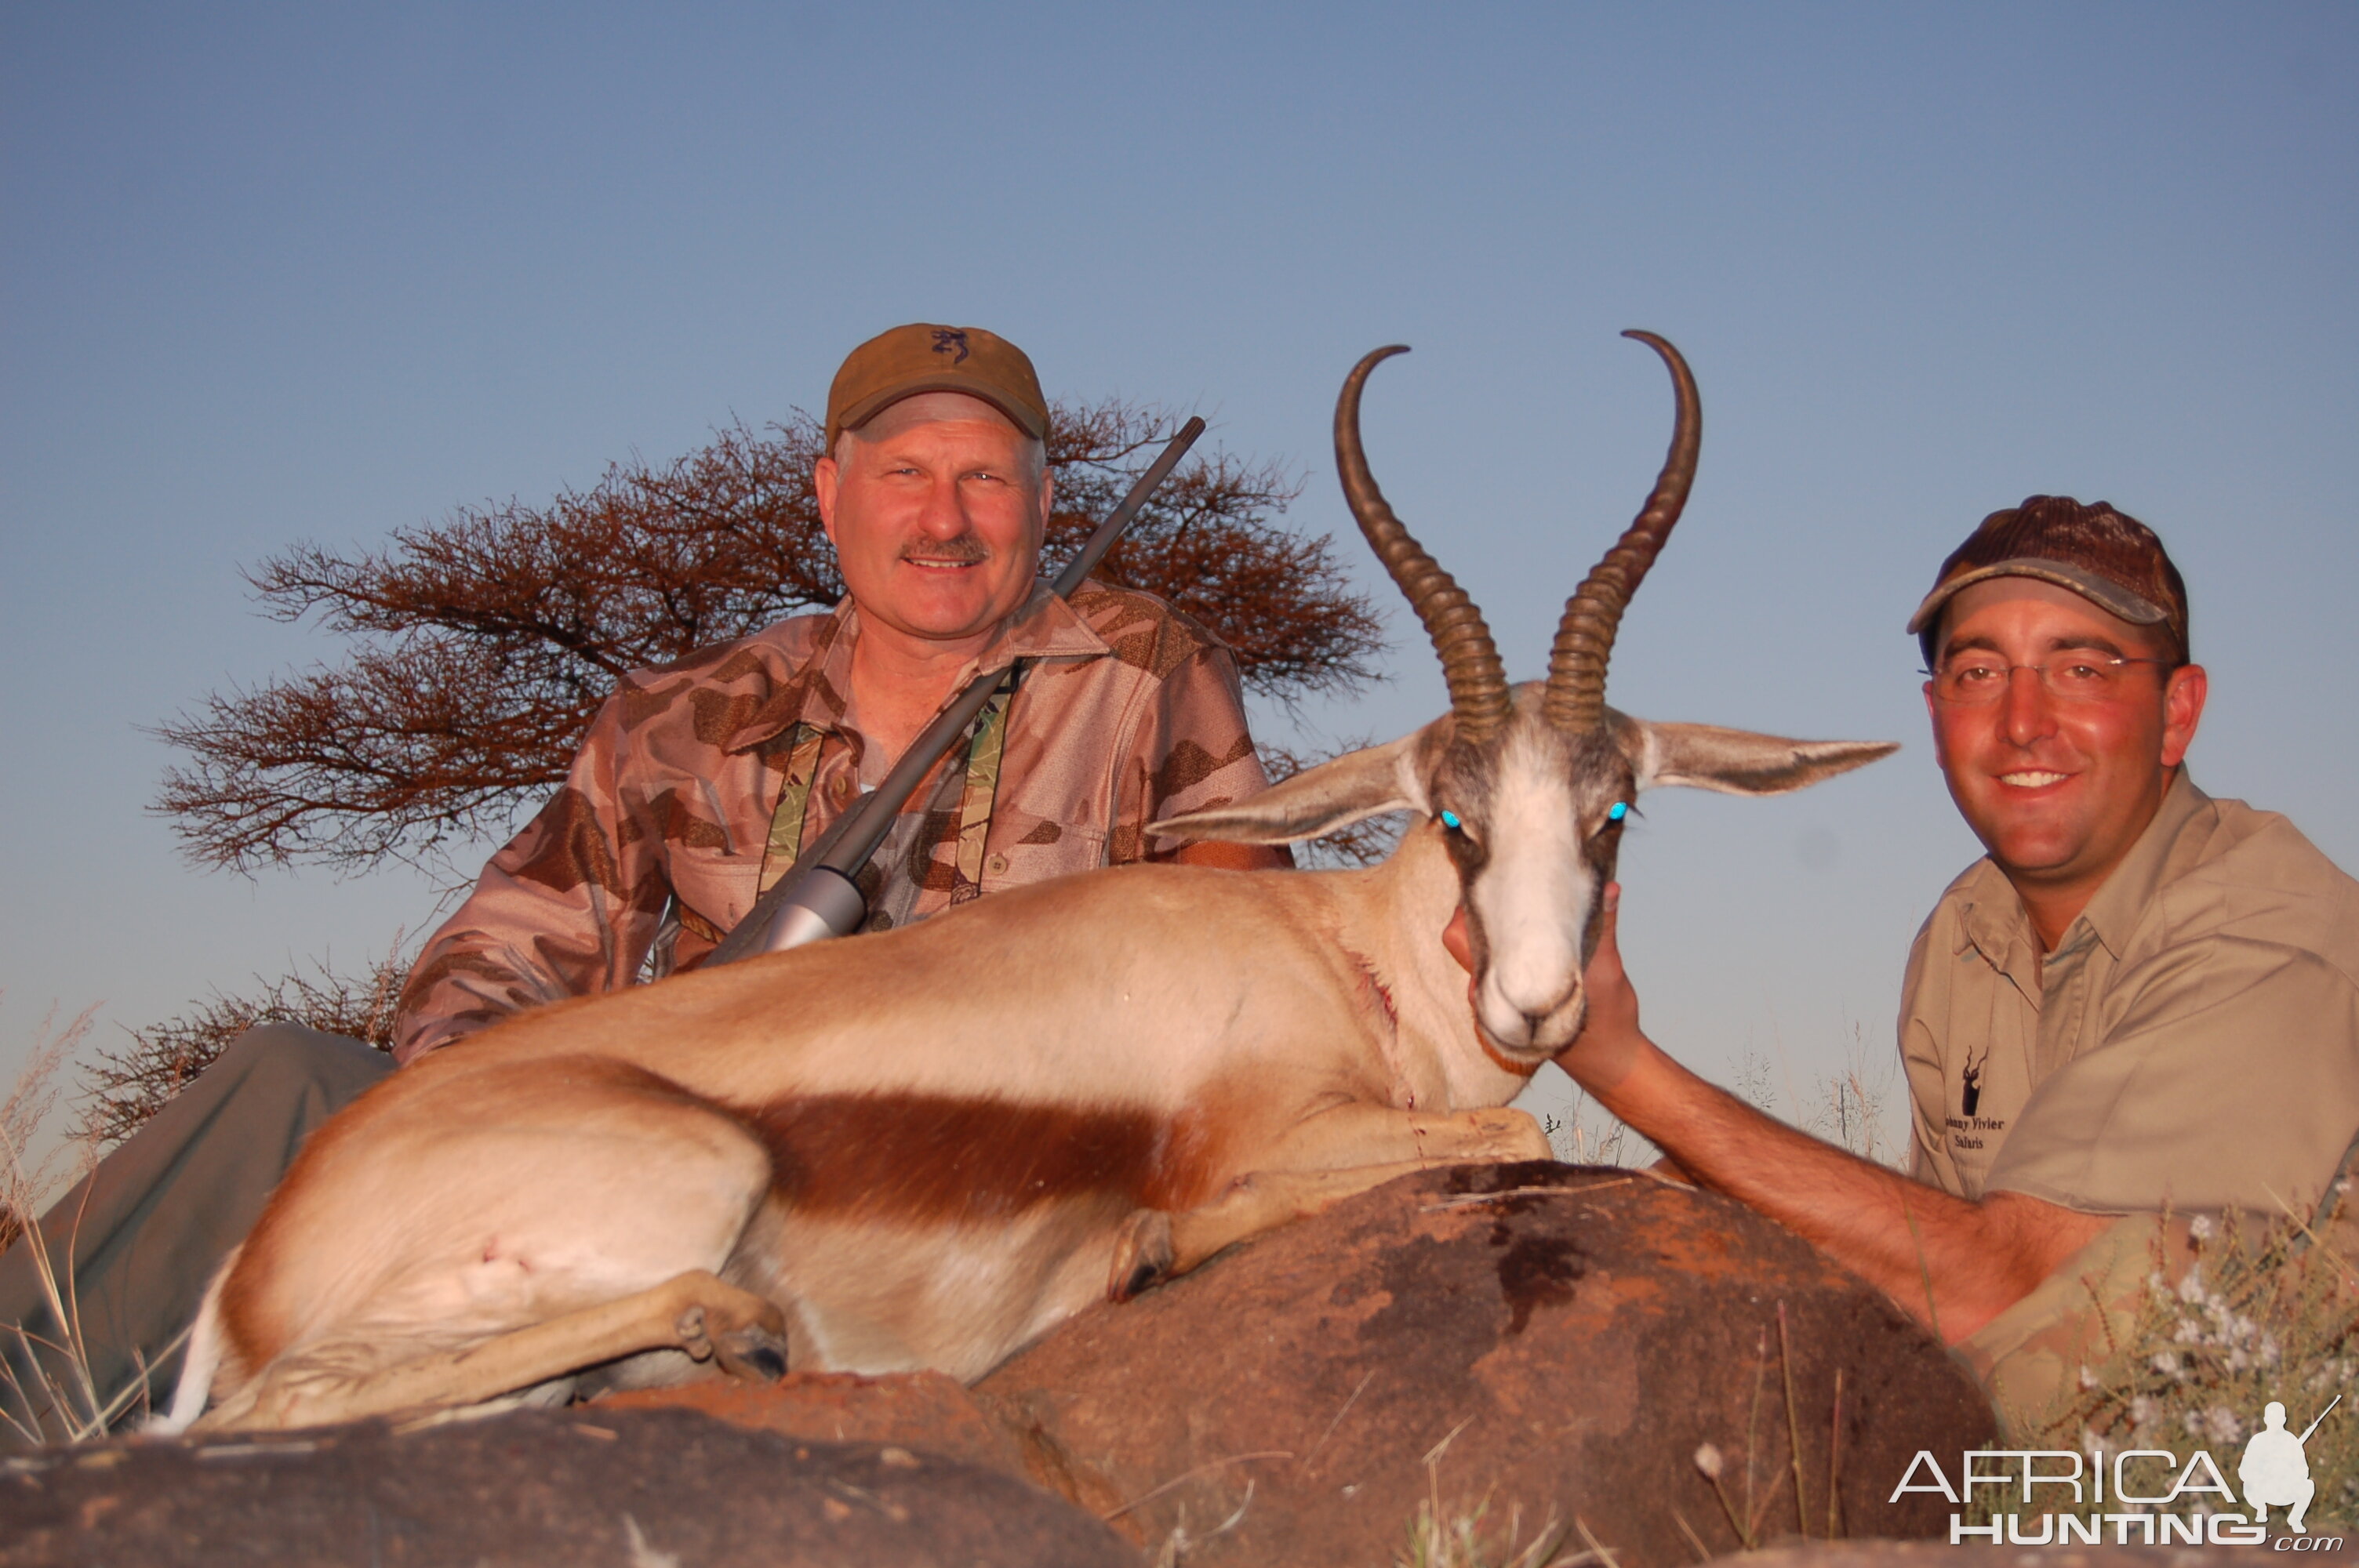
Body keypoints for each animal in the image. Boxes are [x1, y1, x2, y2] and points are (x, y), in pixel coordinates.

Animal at [162, 330, 1896, 1433]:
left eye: (1613, 811)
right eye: (1455, 820)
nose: (1537, 1002)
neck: (1337, 956)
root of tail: (252, 1262)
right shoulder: (1269, 1131)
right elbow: (1508, 1133)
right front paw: (1152, 1246)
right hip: (683, 1181)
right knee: (275, 1412)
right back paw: (740, 1330)